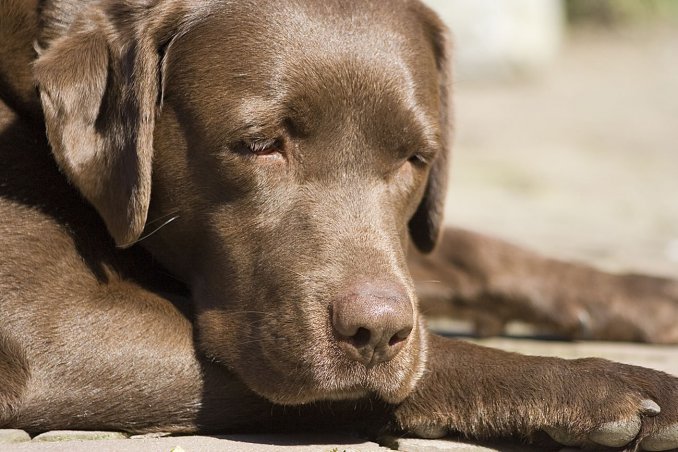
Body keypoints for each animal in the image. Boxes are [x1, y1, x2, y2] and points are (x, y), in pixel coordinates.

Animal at [1, 0, 678, 450]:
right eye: (259, 144)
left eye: (416, 159)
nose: (377, 332)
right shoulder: (53, 332)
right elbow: (435, 354)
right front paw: (602, 383)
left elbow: (473, 251)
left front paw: (647, 295)